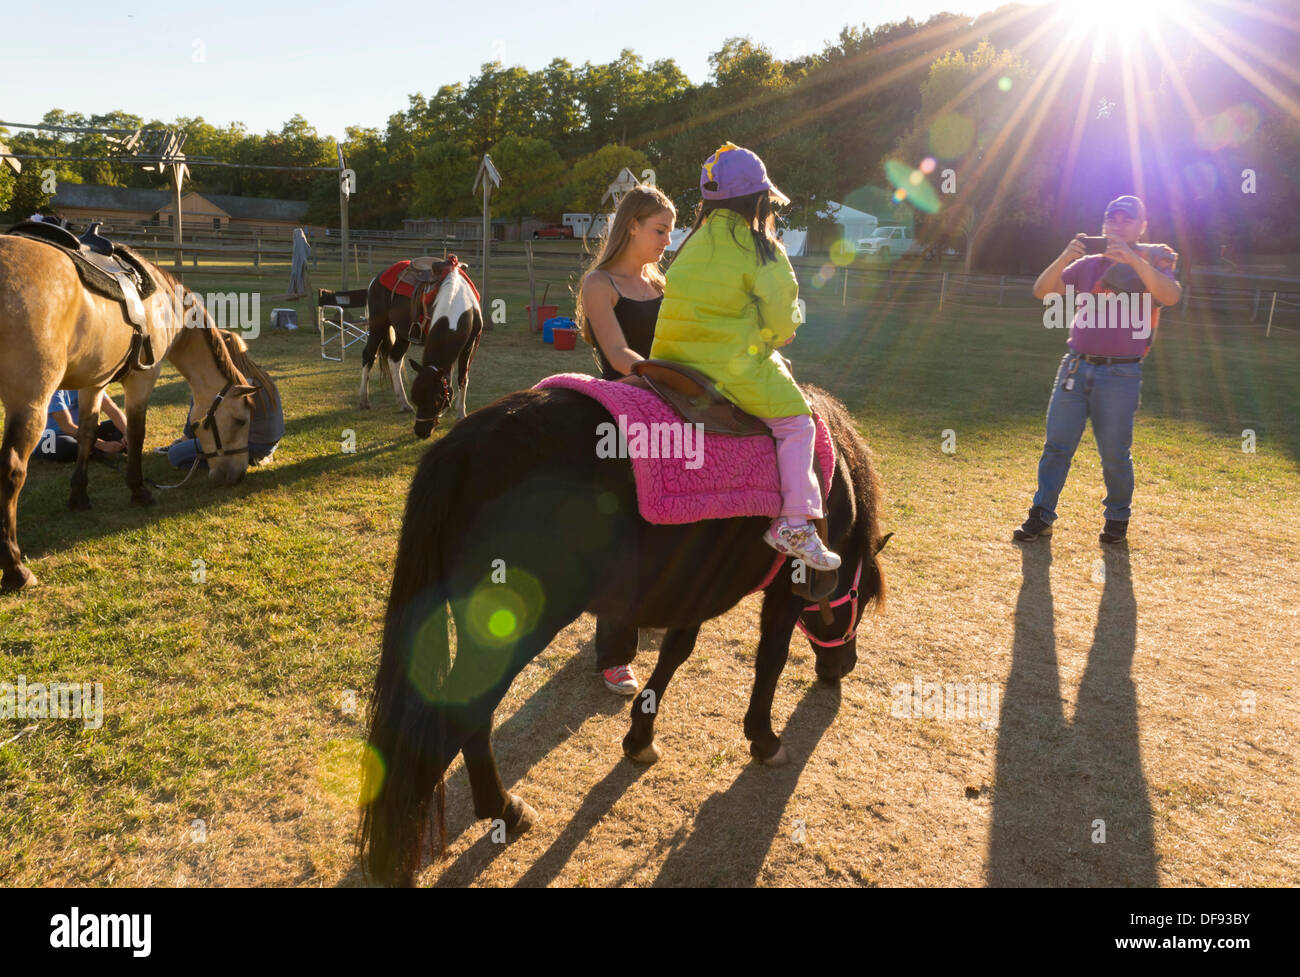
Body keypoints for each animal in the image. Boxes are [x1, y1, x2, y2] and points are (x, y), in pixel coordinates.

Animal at [0, 228, 261, 592]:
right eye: (240, 420)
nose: (237, 475)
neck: (167, 304)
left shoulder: (93, 384)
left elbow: (87, 436)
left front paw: (79, 496)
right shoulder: (142, 378)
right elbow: (136, 434)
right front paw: (139, 490)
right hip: (30, 402)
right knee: (11, 471)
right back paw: (15, 568)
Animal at [358, 255, 486, 431]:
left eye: (437, 399)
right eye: (417, 397)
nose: (420, 431)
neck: (458, 298)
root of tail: (376, 279)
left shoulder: (469, 345)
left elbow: (462, 377)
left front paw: (461, 413)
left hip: (403, 334)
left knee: (394, 359)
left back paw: (403, 403)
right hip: (378, 326)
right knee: (369, 356)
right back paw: (364, 400)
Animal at [361, 381, 889, 883]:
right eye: (861, 597)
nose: (843, 666)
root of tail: (460, 449)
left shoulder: (696, 586)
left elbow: (675, 653)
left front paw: (640, 736)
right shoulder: (784, 592)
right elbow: (770, 661)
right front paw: (764, 739)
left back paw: (504, 812)